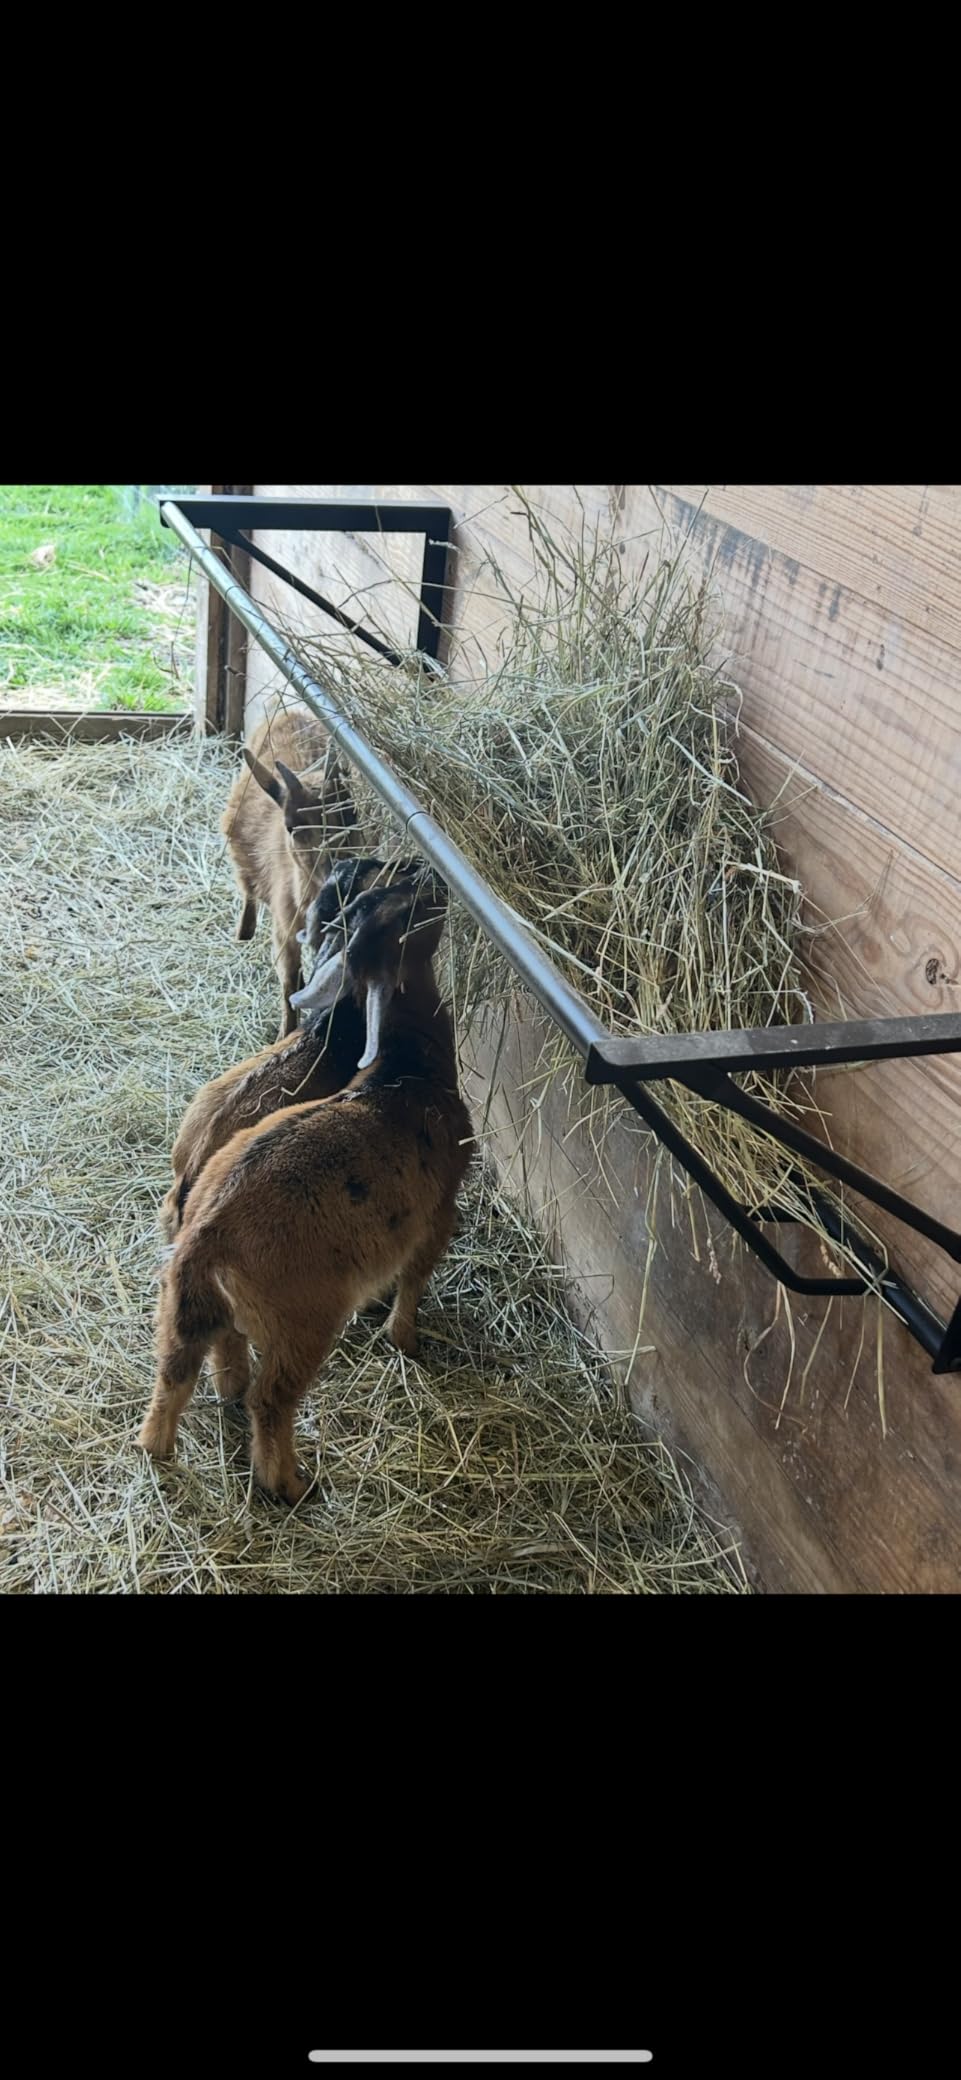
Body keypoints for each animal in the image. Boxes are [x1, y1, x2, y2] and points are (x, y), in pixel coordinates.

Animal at [221, 697, 360, 1040]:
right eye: (291, 826)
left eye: (350, 812)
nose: (338, 872)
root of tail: (290, 712)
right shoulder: (284, 930)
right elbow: (289, 982)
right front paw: (286, 1033)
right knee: (248, 890)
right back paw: (243, 932)